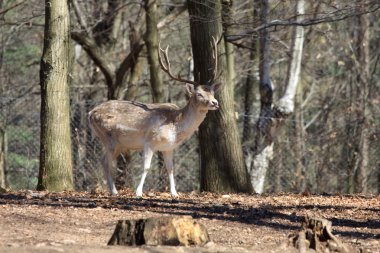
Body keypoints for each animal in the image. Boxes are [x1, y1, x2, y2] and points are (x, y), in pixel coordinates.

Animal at [88, 37, 220, 197]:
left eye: (212, 92)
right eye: (199, 94)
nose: (215, 103)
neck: (175, 127)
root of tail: (90, 113)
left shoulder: (168, 147)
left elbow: (170, 168)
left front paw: (174, 194)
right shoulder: (149, 141)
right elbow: (146, 167)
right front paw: (138, 192)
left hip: (119, 144)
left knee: (103, 161)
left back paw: (113, 190)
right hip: (108, 138)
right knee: (106, 162)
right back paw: (114, 191)